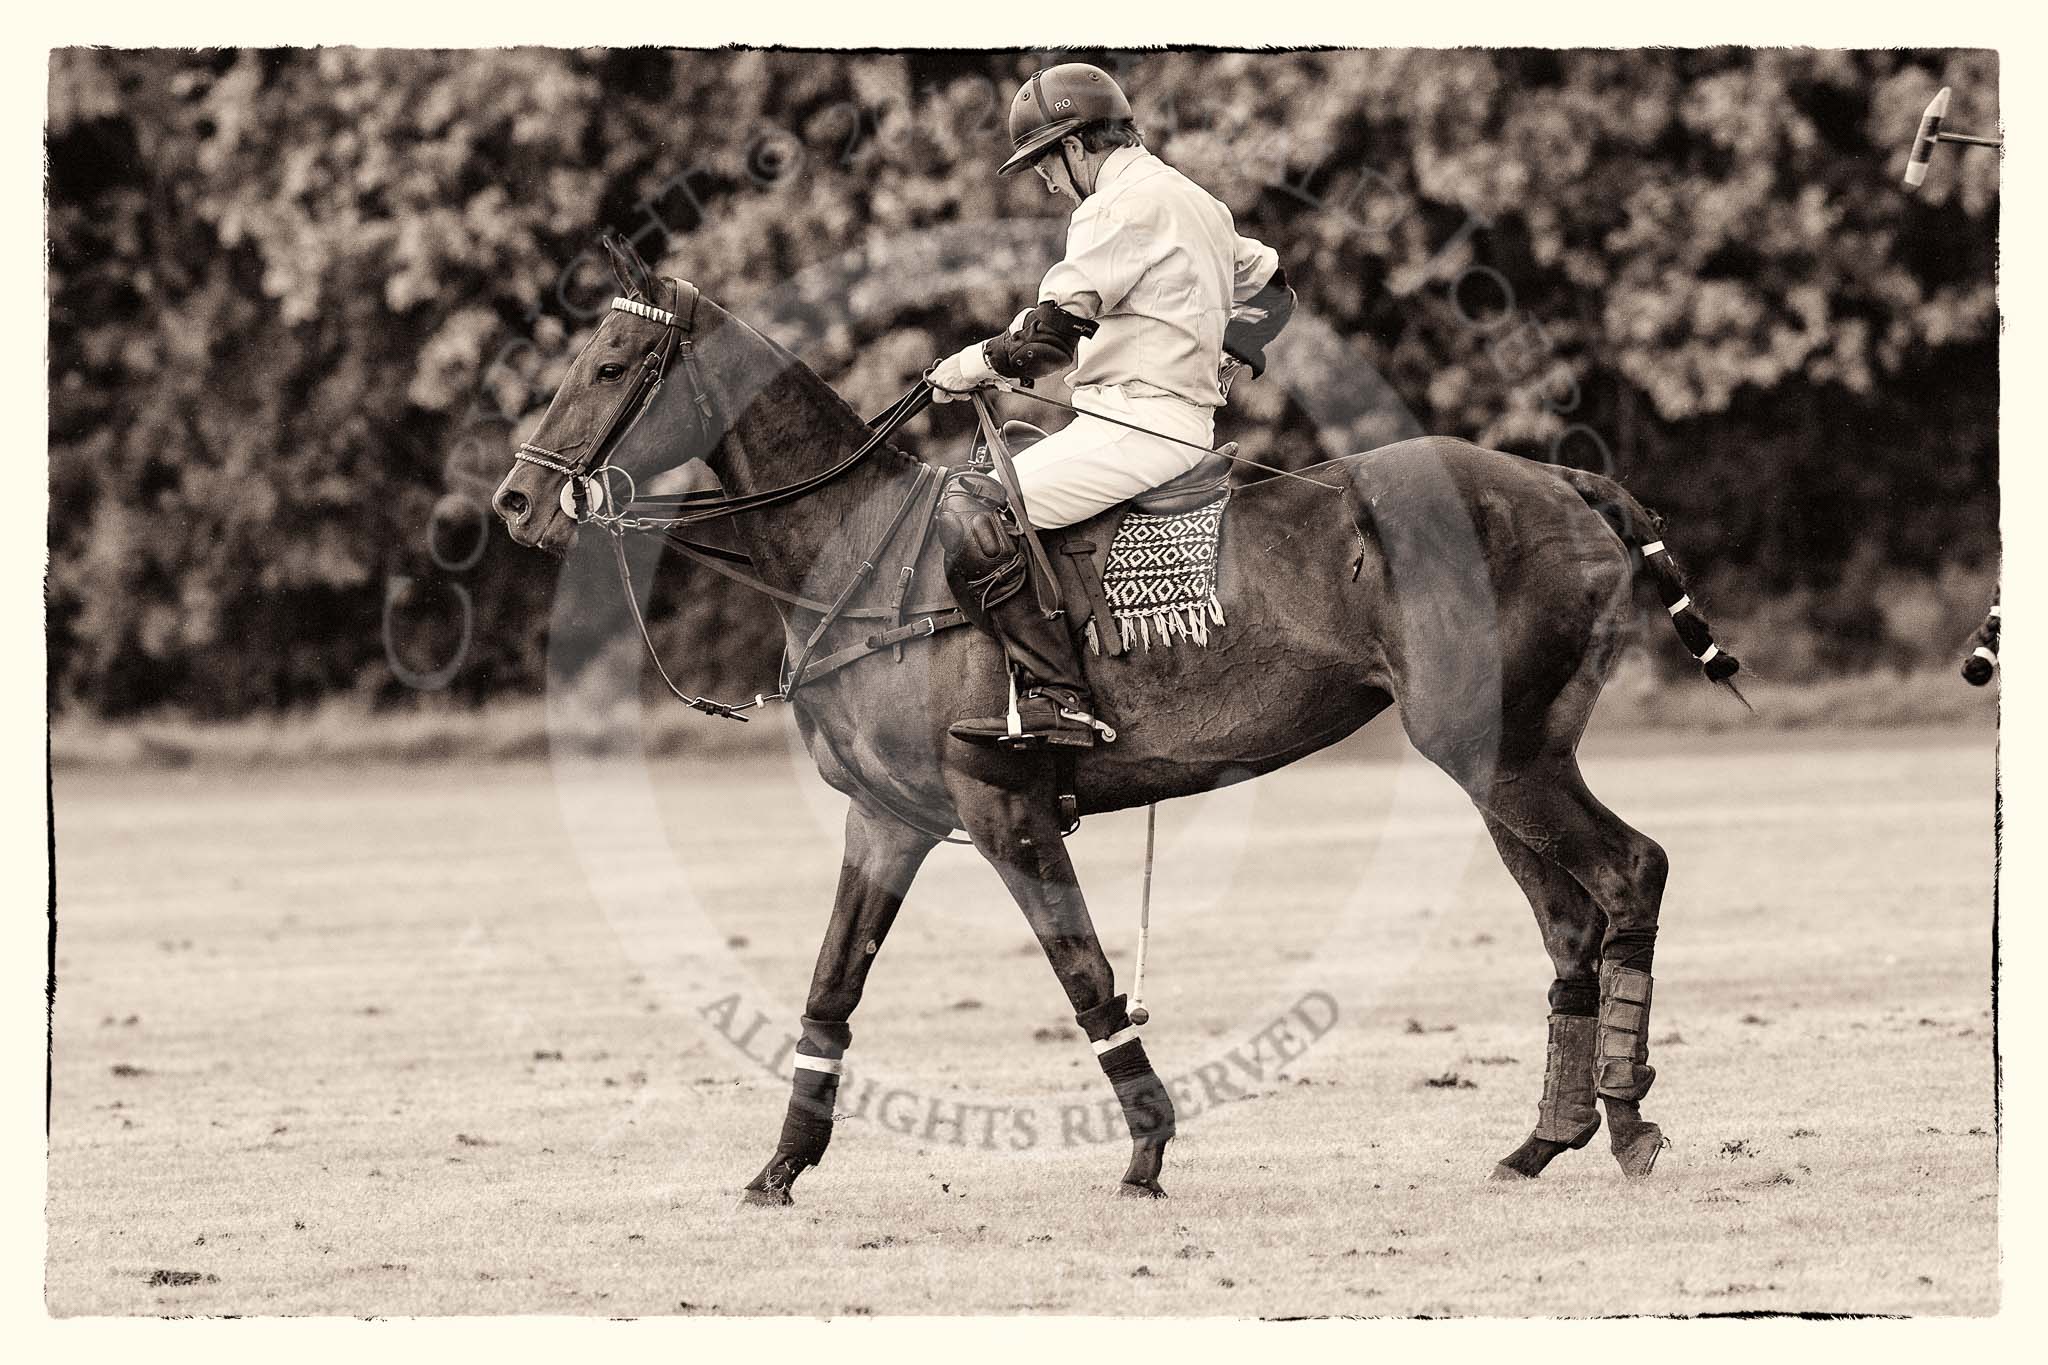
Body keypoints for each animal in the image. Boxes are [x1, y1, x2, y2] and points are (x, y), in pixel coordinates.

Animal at [491, 253, 1744, 1203]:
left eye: (611, 365)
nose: (515, 503)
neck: (858, 561)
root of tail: (1570, 483)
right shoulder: (886, 820)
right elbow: (830, 990)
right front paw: (779, 1169)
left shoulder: (1001, 806)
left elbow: (1082, 973)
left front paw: (1146, 1149)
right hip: (1498, 759)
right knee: (1567, 927)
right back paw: (1543, 1141)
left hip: (1499, 752)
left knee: (1630, 871)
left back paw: (1627, 1121)